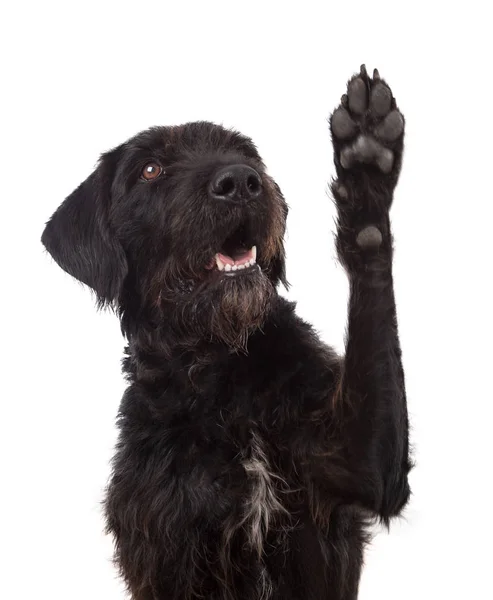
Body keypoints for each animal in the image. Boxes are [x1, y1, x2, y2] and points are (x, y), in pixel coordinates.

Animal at [43, 67, 412, 600]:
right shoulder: (167, 545)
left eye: (246, 154)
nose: (240, 181)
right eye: (150, 170)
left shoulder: (360, 465)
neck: (223, 374)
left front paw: (366, 170)